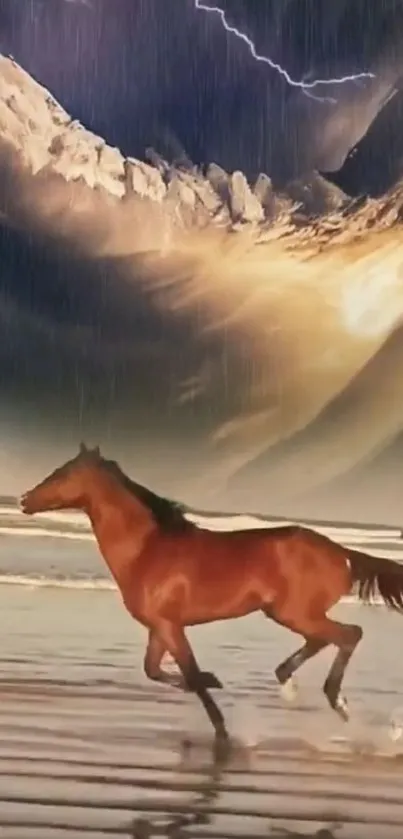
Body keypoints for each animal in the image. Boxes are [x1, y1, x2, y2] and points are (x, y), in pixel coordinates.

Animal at [19, 442, 403, 752]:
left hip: (294, 612)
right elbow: (156, 671)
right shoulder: (159, 627)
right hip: (287, 613)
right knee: (324, 639)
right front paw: (213, 682)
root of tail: (341, 552)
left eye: (63, 472)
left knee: (349, 635)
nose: (24, 500)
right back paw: (289, 682)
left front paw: (222, 729)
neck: (147, 550)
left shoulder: (170, 626)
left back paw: (337, 702)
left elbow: (189, 674)